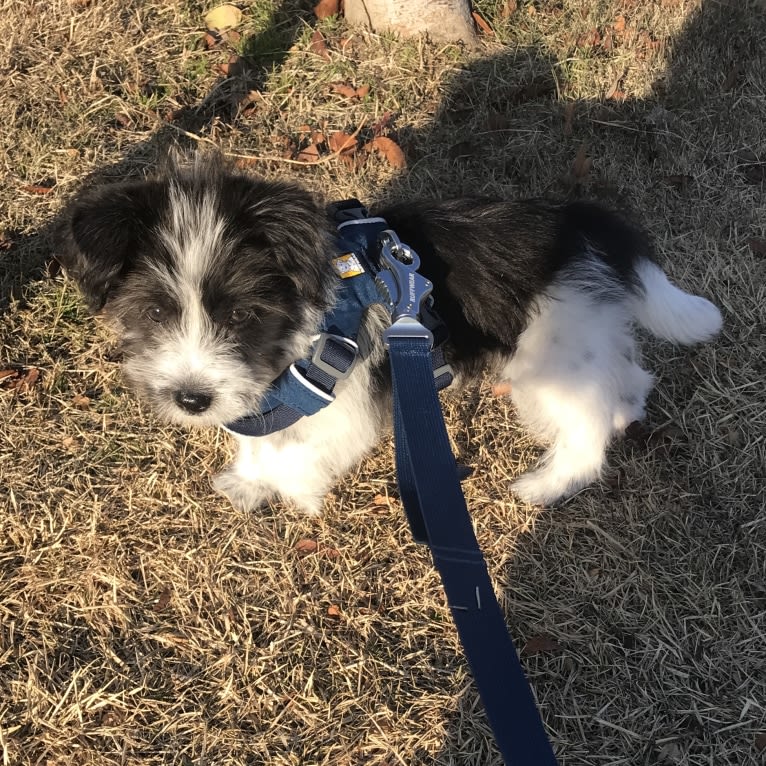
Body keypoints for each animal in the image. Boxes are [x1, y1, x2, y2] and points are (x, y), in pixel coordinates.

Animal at [55, 156, 728, 516]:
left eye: (243, 315)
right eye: (156, 312)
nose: (191, 400)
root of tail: (586, 223)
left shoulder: (342, 401)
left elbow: (300, 449)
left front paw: (296, 494)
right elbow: (257, 436)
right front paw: (249, 482)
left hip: (551, 360)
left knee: (587, 433)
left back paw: (546, 484)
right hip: (587, 335)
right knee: (628, 379)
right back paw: (623, 412)